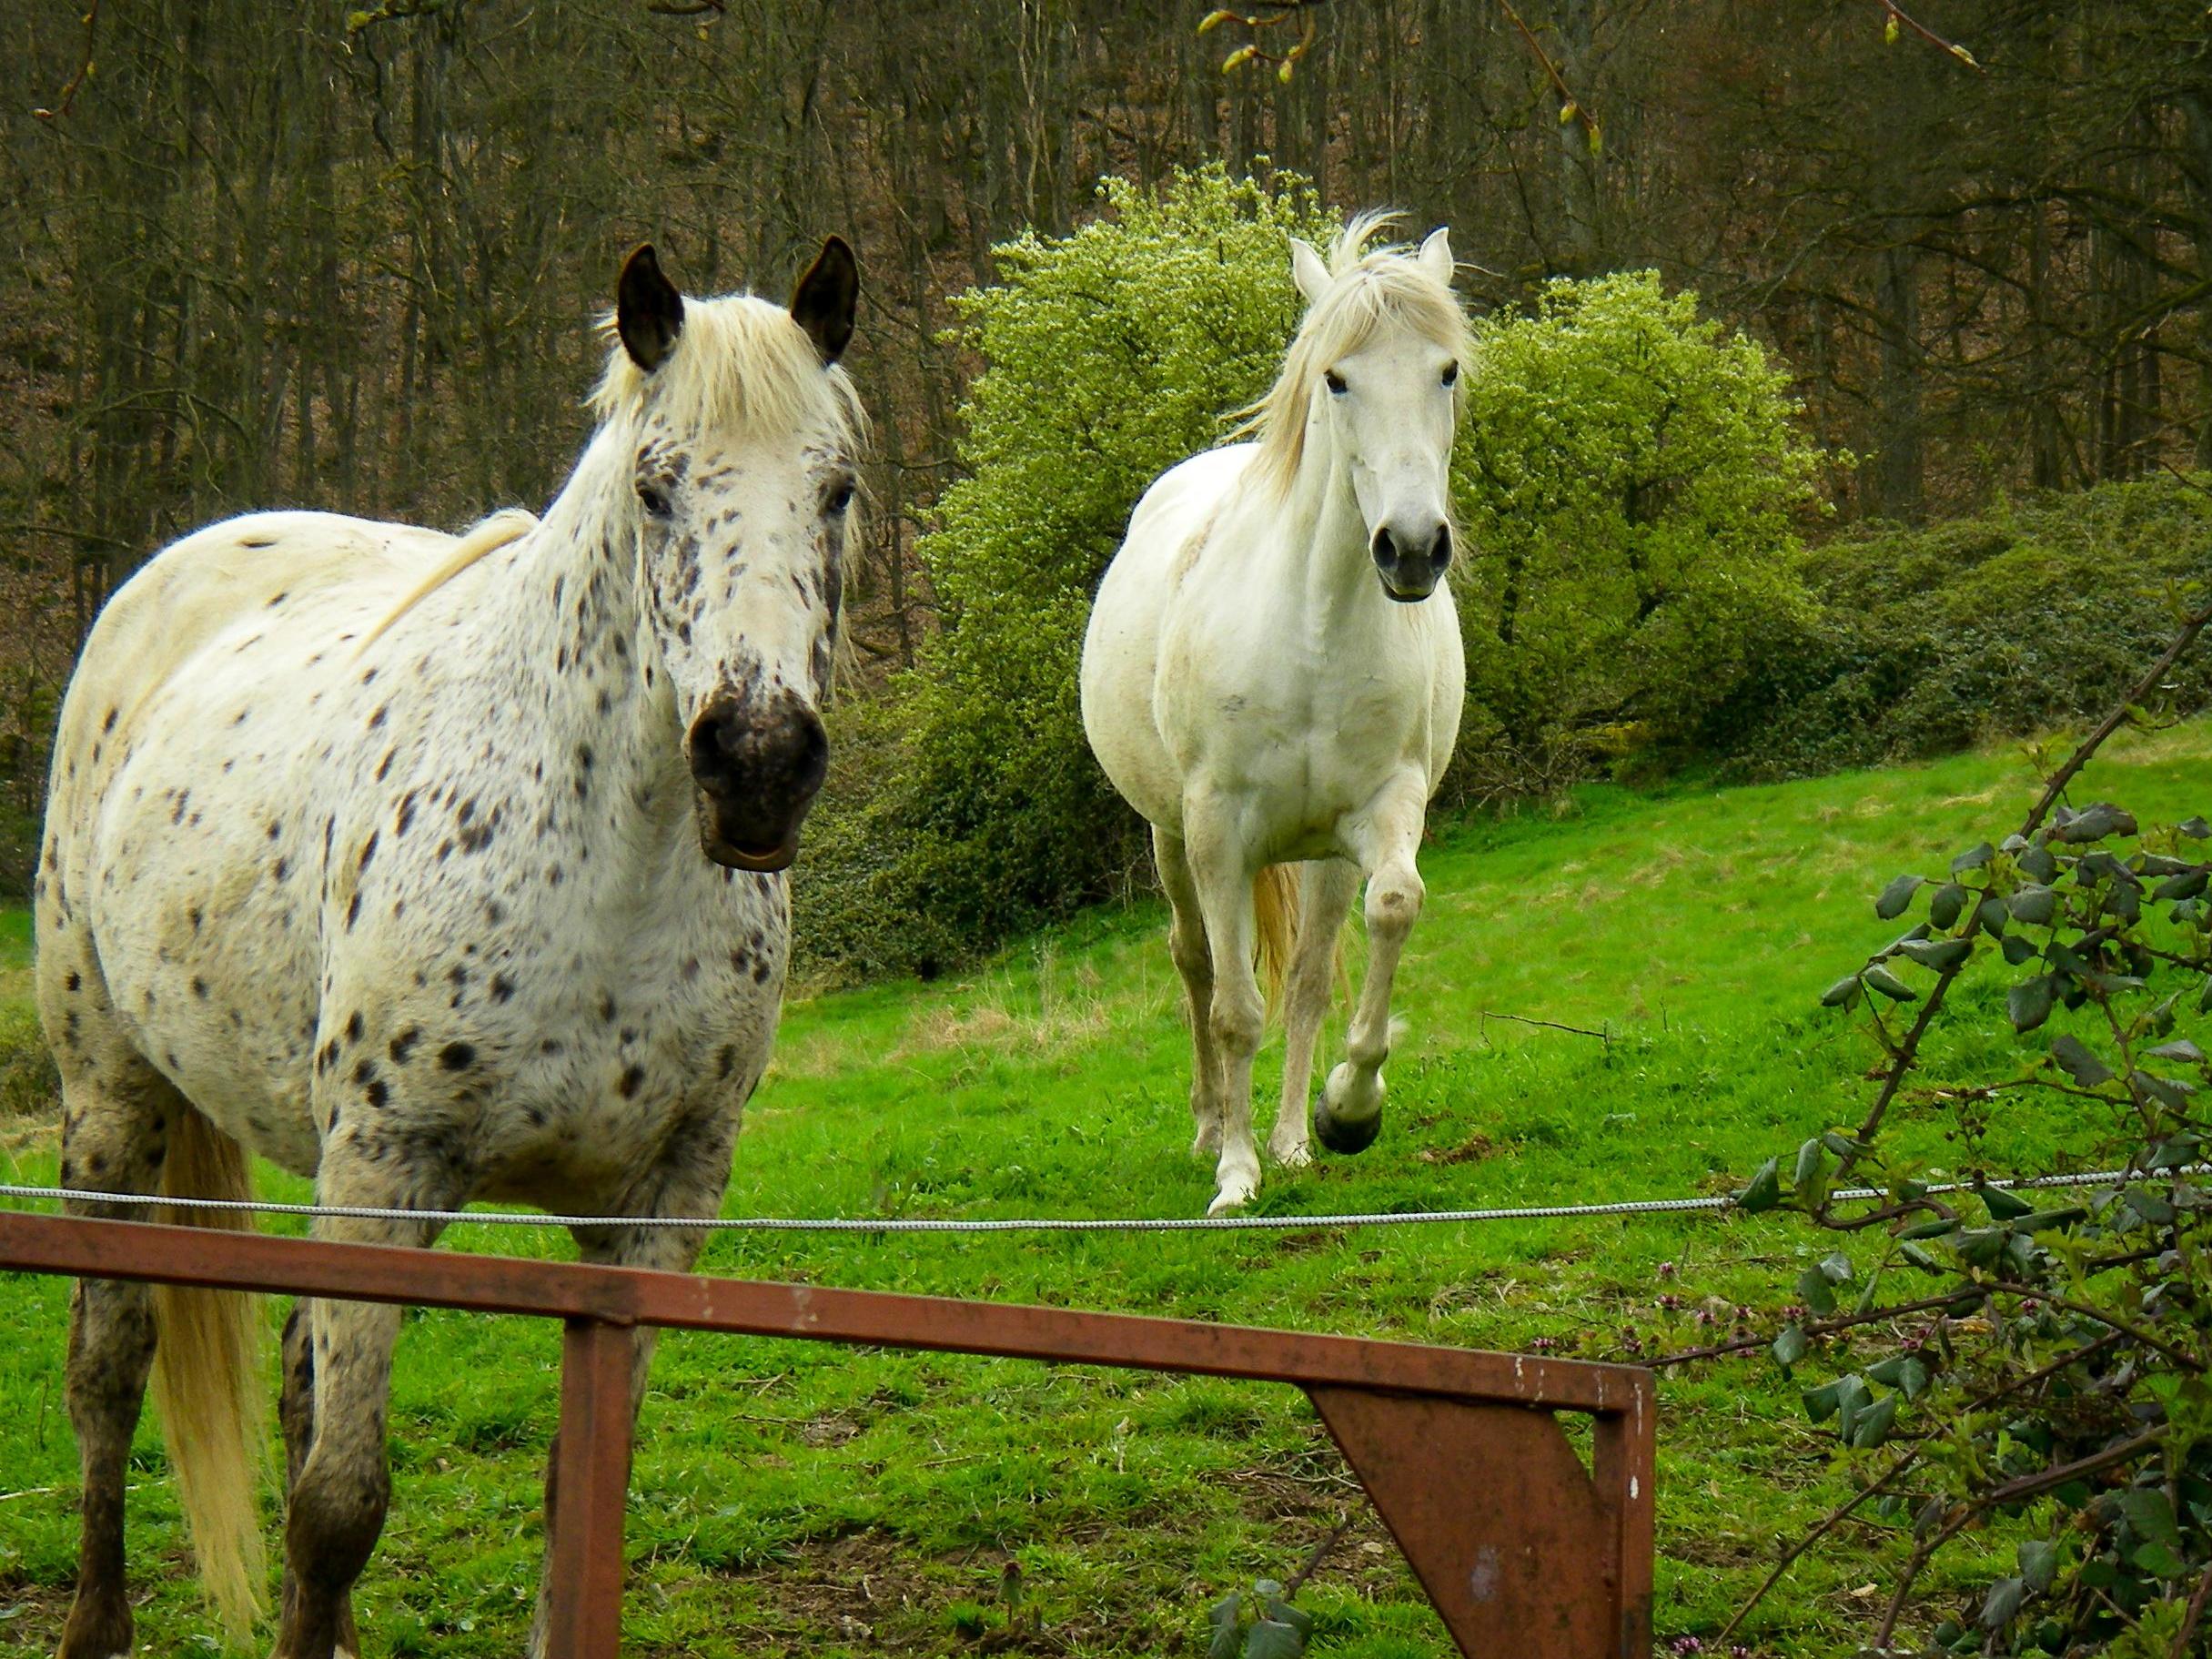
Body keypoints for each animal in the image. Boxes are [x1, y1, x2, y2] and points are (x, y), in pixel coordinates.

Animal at [36, 237, 863, 1659]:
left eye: (838, 489)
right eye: (655, 487)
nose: (756, 761)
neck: (608, 871)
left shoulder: (661, 1206)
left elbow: (576, 1491)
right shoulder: (389, 1164)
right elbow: (336, 1506)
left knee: (293, 1383)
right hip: (115, 1101)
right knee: (112, 1367)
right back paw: (96, 1621)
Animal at [1075, 214, 1469, 1212]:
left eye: (1446, 370)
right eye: (1336, 377)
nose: (1412, 547)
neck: (1312, 626)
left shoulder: (1383, 810)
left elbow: (1387, 915)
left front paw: (1344, 1113)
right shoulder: (1218, 831)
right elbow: (1231, 1008)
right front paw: (1234, 1175)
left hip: (1319, 856)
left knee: (1304, 979)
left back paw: (1291, 1139)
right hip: (1171, 839)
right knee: (1195, 964)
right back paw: (1213, 1126)